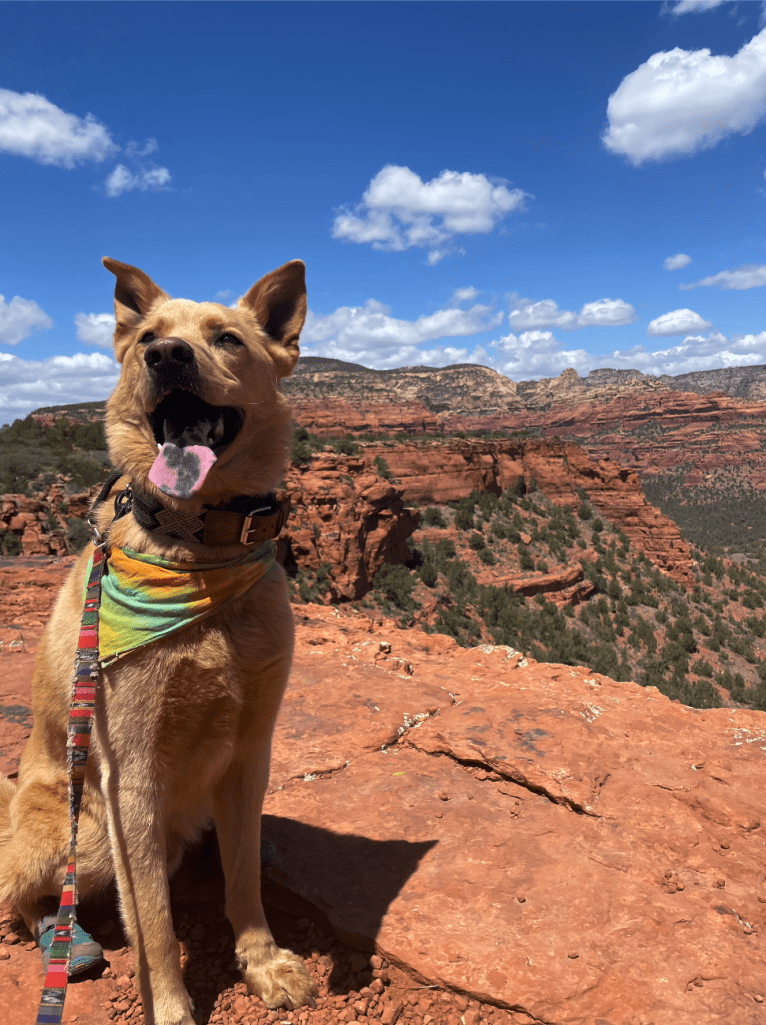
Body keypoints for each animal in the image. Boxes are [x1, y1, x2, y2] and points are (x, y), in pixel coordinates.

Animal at [0, 258, 317, 1025]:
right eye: (147, 336)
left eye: (227, 338)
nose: (167, 356)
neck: (198, 546)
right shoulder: (131, 774)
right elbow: (153, 922)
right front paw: (171, 1008)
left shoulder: (251, 749)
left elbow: (244, 875)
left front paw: (262, 962)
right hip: (81, 835)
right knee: (28, 895)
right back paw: (65, 941)